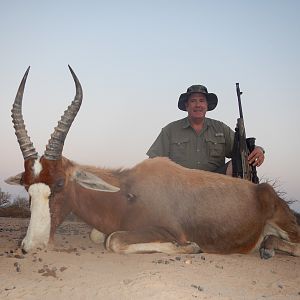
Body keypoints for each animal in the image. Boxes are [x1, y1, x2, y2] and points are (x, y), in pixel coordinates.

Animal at [5, 67, 300, 258]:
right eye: (26, 186)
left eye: (59, 183)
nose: (30, 246)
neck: (127, 192)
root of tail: (264, 190)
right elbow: (100, 236)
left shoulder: (167, 231)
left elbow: (113, 240)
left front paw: (191, 248)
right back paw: (267, 247)